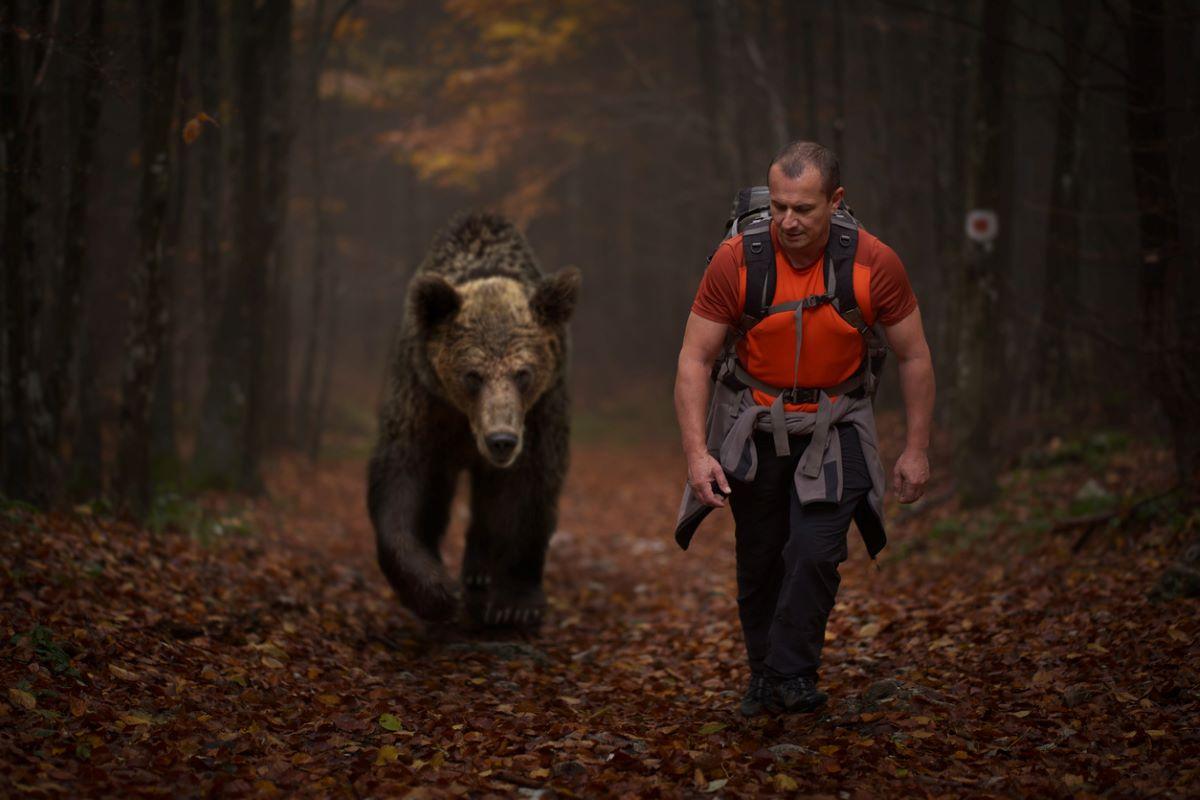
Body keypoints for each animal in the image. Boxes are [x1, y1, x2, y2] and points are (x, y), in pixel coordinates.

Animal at [369, 211, 580, 633]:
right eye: (472, 375)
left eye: (523, 373)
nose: (501, 440)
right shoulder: (425, 400)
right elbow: (405, 480)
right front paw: (434, 591)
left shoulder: (539, 413)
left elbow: (527, 489)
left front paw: (515, 604)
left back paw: (480, 572)